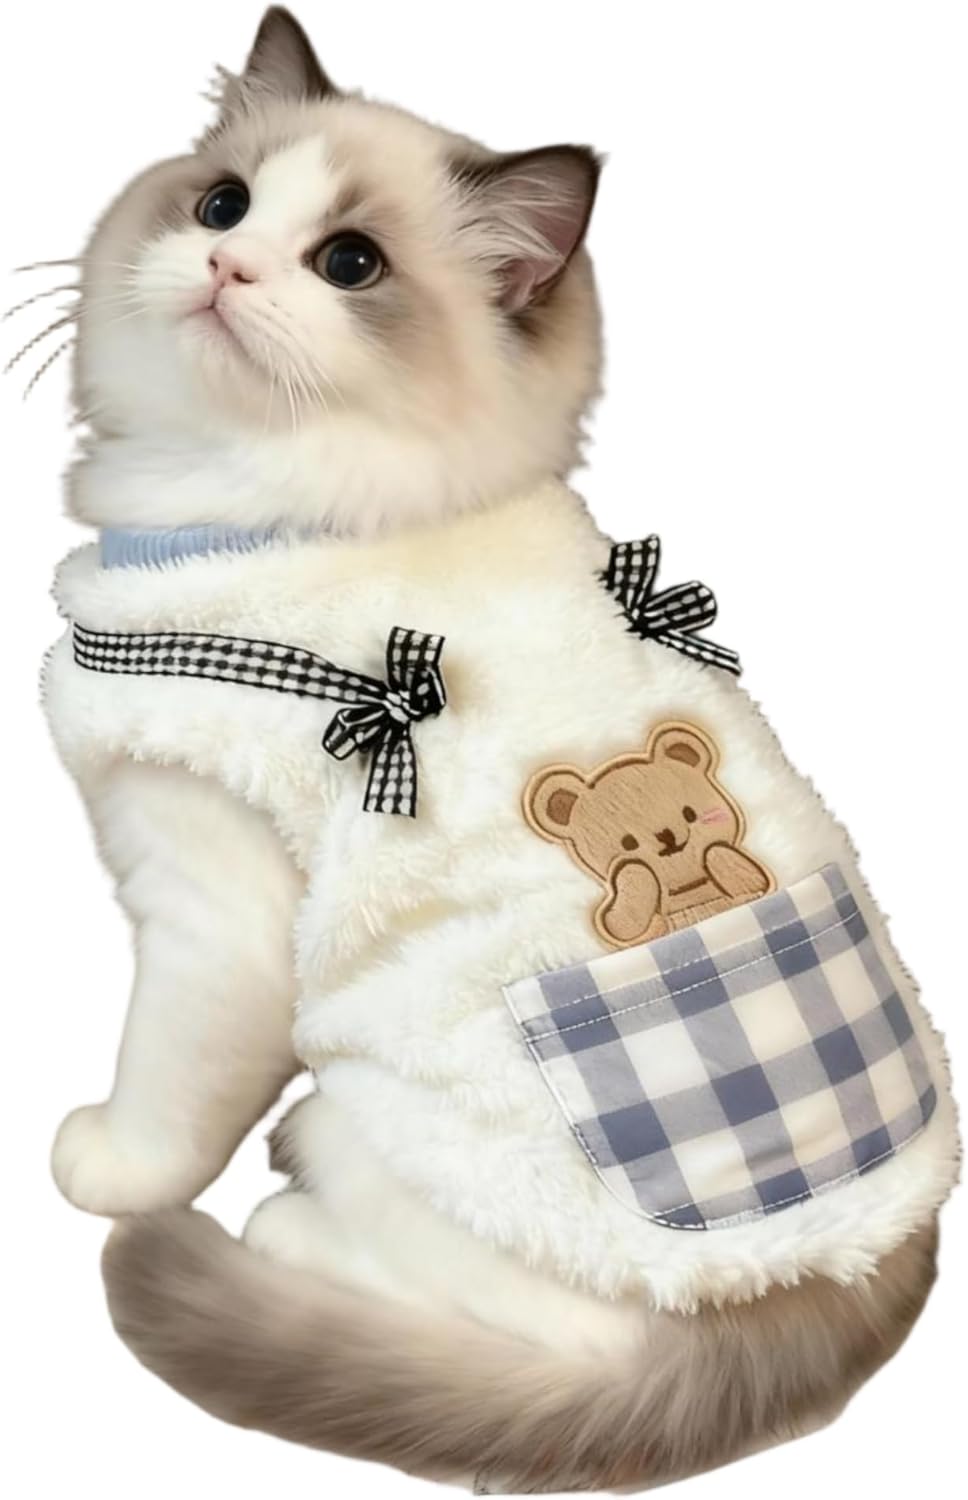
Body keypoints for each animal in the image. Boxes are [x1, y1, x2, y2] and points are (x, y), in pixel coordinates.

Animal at [524, 720, 774, 948]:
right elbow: (622, 922)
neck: (687, 889)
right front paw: (635, 875)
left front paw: (719, 855)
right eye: (628, 842)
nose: (666, 836)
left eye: (689, 814)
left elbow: (743, 872)